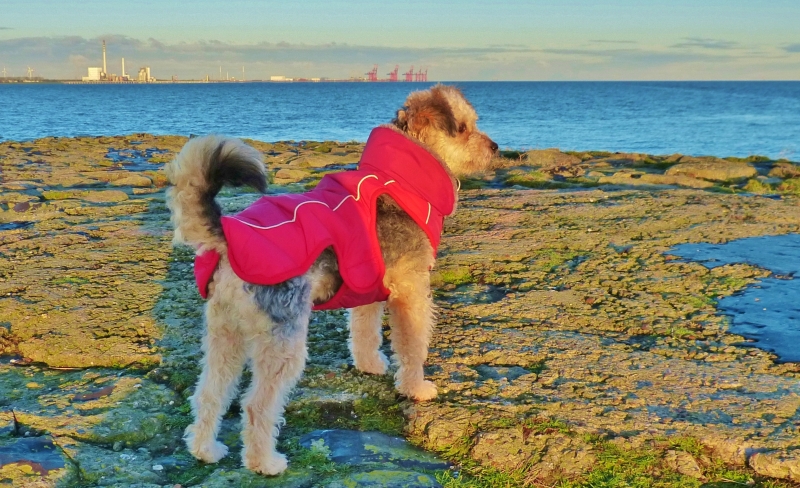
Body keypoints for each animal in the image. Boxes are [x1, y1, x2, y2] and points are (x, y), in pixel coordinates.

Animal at [165, 84, 498, 475]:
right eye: (463, 127)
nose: (496, 148)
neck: (400, 180)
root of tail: (226, 236)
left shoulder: (370, 288)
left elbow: (364, 332)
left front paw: (370, 366)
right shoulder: (412, 291)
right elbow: (412, 345)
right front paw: (416, 388)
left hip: (225, 335)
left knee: (208, 394)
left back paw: (205, 450)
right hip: (284, 341)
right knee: (256, 405)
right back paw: (265, 462)